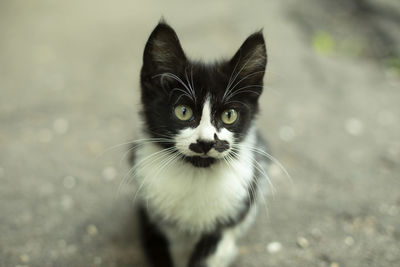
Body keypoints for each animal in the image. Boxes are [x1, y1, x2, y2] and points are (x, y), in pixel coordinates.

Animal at [133, 21, 270, 267]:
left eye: (229, 115)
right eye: (183, 111)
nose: (206, 142)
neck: (196, 174)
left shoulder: (232, 216)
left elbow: (210, 253)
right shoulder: (150, 214)